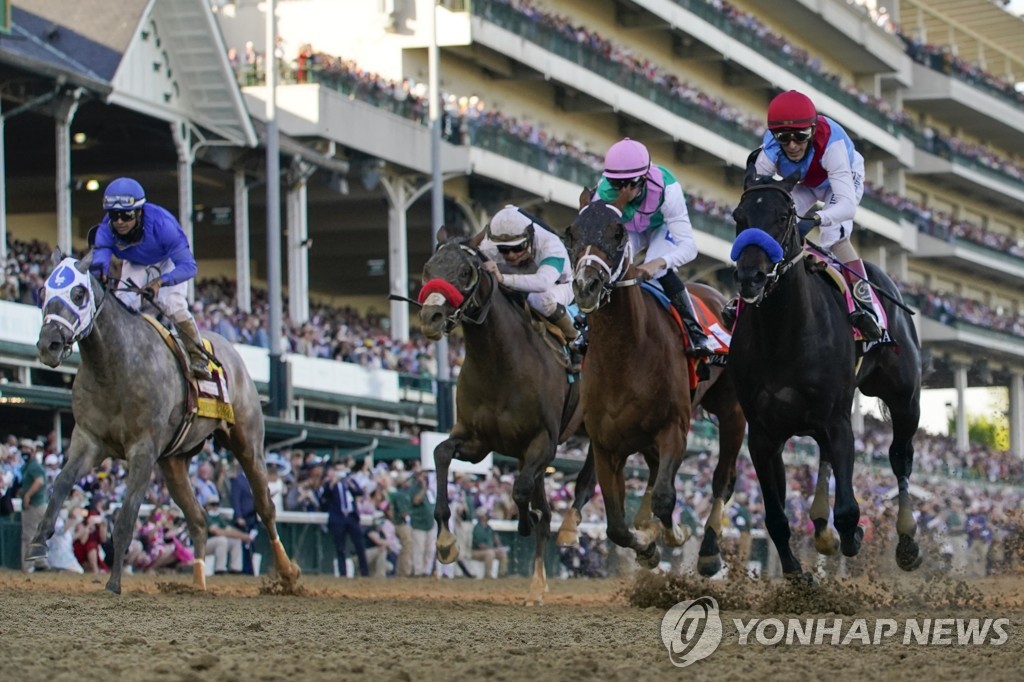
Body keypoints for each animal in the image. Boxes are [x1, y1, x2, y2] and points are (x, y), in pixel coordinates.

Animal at [28, 251, 299, 593]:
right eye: (43, 293)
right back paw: (197, 582)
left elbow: (127, 514)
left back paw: (287, 573)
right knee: (198, 519)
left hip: (247, 442)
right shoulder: (89, 438)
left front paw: (113, 583)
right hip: (174, 463)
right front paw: (38, 545)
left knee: (265, 507)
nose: (48, 344)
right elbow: (62, 483)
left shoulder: (143, 449)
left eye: (78, 293)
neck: (114, 366)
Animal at [419, 236, 589, 602]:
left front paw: (524, 522)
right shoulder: (476, 441)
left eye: (465, 271)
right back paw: (538, 581)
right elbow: (440, 453)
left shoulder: (543, 442)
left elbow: (521, 491)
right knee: (545, 508)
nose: (430, 317)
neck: (500, 362)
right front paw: (446, 543)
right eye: (428, 268)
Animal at [565, 188, 749, 569]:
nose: (586, 285)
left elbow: (666, 497)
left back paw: (708, 551)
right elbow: (615, 526)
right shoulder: (606, 445)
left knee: (722, 480)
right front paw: (646, 546)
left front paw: (673, 534)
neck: (624, 356)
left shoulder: (673, 429)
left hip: (732, 411)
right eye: (571, 233)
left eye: (618, 233)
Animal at [733, 173, 925, 577]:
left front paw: (852, 536)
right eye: (738, 216)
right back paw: (821, 527)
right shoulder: (762, 433)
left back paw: (906, 541)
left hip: (905, 400)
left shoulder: (838, 421)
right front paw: (796, 573)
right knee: (822, 456)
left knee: (900, 456)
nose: (751, 276)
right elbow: (776, 516)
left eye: (783, 216)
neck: (783, 333)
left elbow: (850, 509)